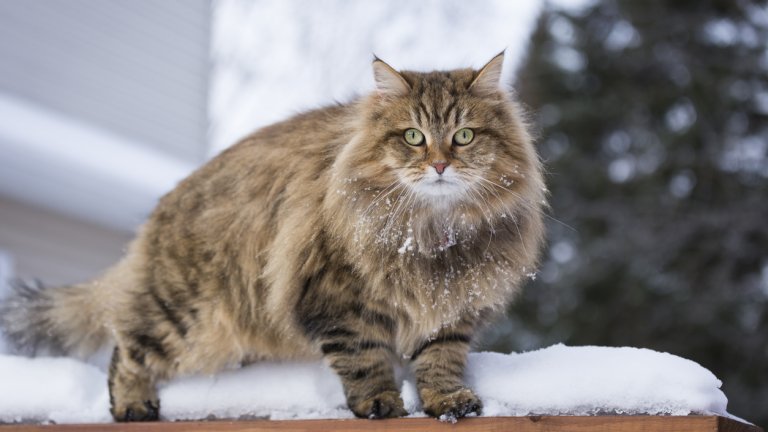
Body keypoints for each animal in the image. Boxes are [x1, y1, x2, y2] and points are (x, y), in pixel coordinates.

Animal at [0, 53, 544, 422]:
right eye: (413, 136)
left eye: (464, 136)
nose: (439, 165)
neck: (432, 234)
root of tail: (164, 207)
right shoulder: (334, 298)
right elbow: (363, 359)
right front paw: (379, 401)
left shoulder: (452, 305)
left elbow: (440, 359)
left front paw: (447, 400)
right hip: (184, 314)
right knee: (126, 348)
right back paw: (134, 405)